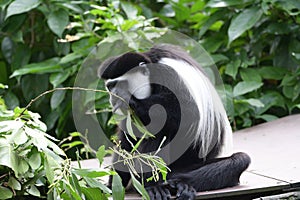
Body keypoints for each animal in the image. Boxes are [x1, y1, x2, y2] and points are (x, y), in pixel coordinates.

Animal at [99, 44, 251, 199]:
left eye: (120, 84)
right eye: (110, 87)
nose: (113, 97)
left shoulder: (168, 75)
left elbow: (188, 112)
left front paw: (129, 99)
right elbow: (128, 138)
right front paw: (113, 184)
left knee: (240, 160)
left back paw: (175, 184)